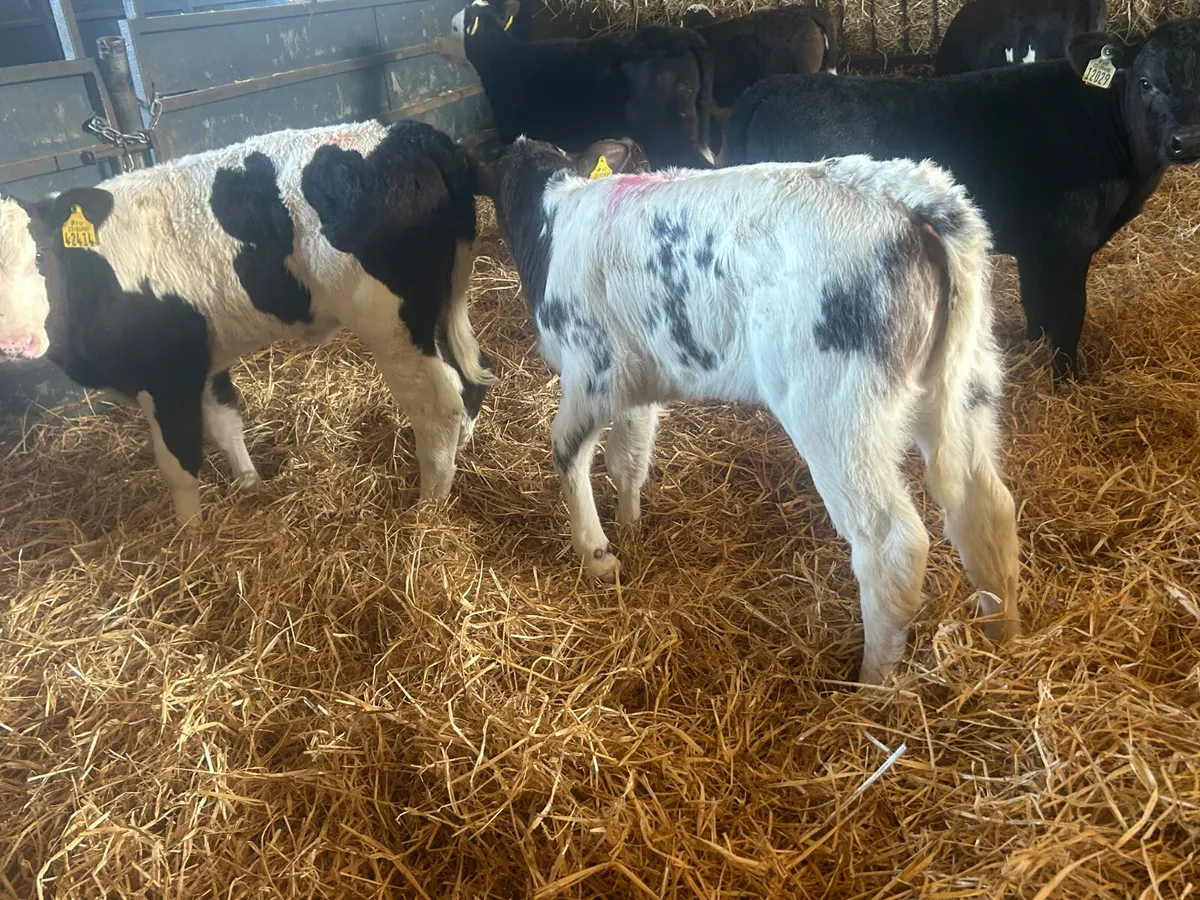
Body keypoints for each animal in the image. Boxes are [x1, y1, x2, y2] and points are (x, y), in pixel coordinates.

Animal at [0, 119, 493, 525]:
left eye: (40, 256)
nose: (15, 344)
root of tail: (407, 133)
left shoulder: (167, 374)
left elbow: (178, 464)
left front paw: (190, 541)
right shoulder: (205, 361)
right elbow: (226, 424)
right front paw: (250, 485)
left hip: (393, 324)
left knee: (439, 405)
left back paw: (427, 509)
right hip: (443, 304)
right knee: (472, 375)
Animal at [482, 135, 1021, 684]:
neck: (553, 220)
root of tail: (906, 195)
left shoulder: (591, 370)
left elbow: (567, 450)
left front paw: (596, 555)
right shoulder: (639, 374)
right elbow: (628, 455)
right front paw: (631, 524)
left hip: (838, 411)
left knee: (893, 545)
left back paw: (873, 684)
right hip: (968, 386)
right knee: (987, 507)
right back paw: (1004, 638)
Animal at [723, 19, 1200, 382]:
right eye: (1145, 82)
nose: (1187, 141)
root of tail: (767, 90)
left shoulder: (1037, 247)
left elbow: (1035, 305)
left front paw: (1032, 350)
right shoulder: (1067, 245)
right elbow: (1068, 316)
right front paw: (1068, 383)